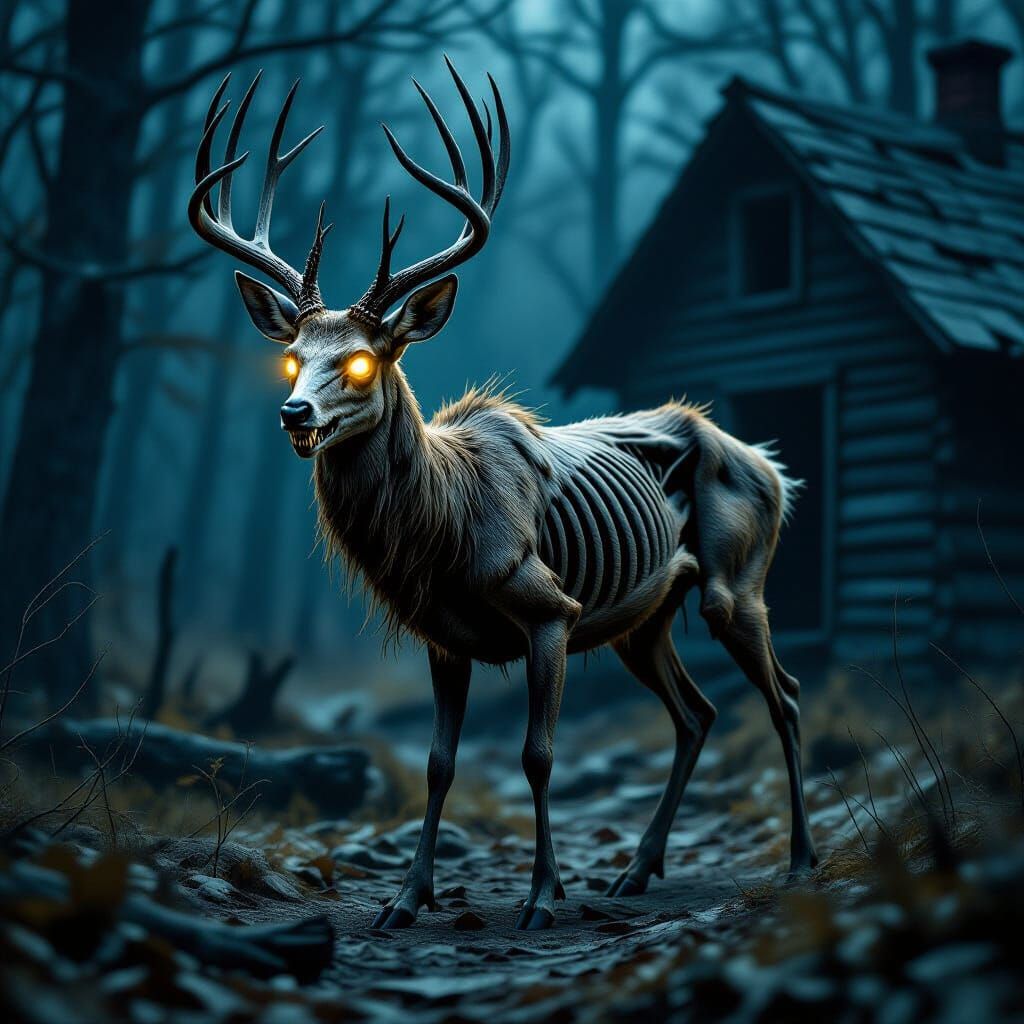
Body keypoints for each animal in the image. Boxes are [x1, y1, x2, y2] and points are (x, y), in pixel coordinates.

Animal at [188, 60, 818, 931]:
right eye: (291, 358)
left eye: (361, 362)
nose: (295, 414)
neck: (443, 530)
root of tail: (771, 467)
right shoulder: (442, 638)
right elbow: (438, 761)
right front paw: (405, 900)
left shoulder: (551, 608)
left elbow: (538, 754)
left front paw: (543, 896)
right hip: (645, 617)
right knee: (697, 714)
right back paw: (635, 872)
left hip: (735, 582)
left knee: (783, 696)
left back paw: (799, 862)